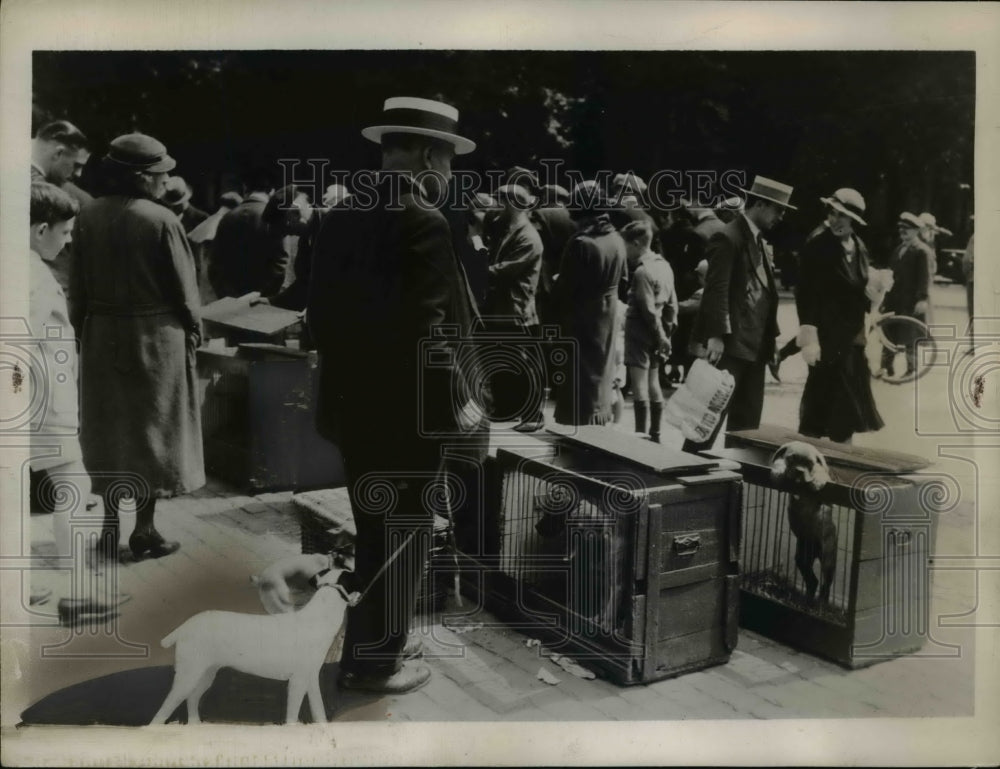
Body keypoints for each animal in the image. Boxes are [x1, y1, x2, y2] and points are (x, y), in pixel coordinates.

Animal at [150, 556, 350, 724]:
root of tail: (183, 627)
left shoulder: (311, 677)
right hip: (188, 674)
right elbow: (293, 714)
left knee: (192, 699)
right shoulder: (298, 680)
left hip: (206, 673)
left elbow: (318, 709)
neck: (316, 618)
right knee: (166, 707)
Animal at [772, 440, 836, 604]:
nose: (799, 472)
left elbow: (821, 472)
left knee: (826, 583)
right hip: (803, 559)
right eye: (792, 458)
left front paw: (817, 481)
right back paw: (806, 599)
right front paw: (777, 471)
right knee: (813, 581)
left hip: (827, 557)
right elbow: (779, 461)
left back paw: (821, 603)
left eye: (809, 463)